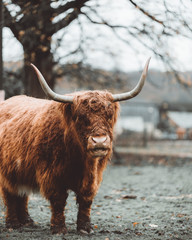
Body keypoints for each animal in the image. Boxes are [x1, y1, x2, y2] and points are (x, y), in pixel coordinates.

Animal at [0, 58, 151, 234]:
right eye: (80, 117)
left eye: (109, 115)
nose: (99, 141)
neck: (80, 159)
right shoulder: (51, 175)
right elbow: (58, 200)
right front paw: (59, 228)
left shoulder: (93, 176)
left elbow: (86, 199)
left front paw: (85, 228)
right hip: (7, 172)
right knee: (10, 194)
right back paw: (13, 224)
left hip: (21, 170)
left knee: (22, 194)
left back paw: (27, 221)